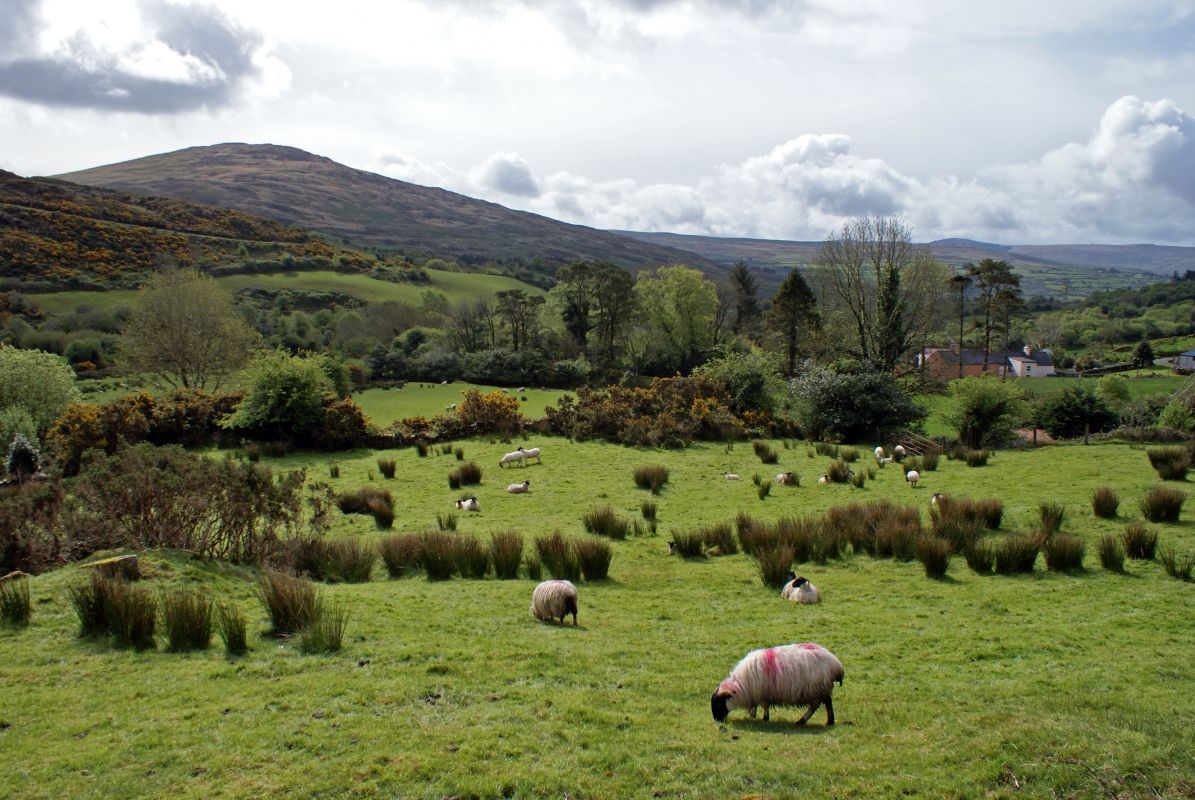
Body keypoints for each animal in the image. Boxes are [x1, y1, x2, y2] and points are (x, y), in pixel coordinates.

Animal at [711, 643, 844, 725]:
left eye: (719, 704)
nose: (717, 720)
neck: (741, 686)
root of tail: (835, 663)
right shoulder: (757, 693)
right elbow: (757, 705)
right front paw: (753, 715)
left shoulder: (763, 693)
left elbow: (764, 706)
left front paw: (764, 718)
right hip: (821, 689)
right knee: (824, 704)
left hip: (818, 688)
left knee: (818, 705)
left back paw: (807, 721)